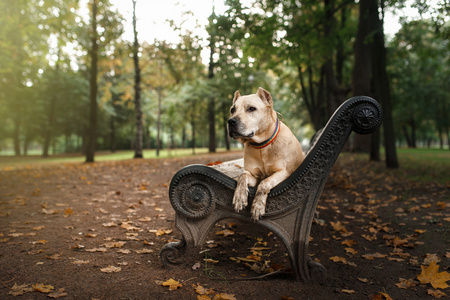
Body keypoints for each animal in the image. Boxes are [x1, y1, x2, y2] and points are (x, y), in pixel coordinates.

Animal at [227, 86, 304, 220]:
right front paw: (240, 196)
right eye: (233, 110)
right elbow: (242, 176)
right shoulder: (253, 175)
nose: (231, 121)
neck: (261, 146)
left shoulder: (283, 173)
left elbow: (265, 183)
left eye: (251, 108)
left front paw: (258, 205)